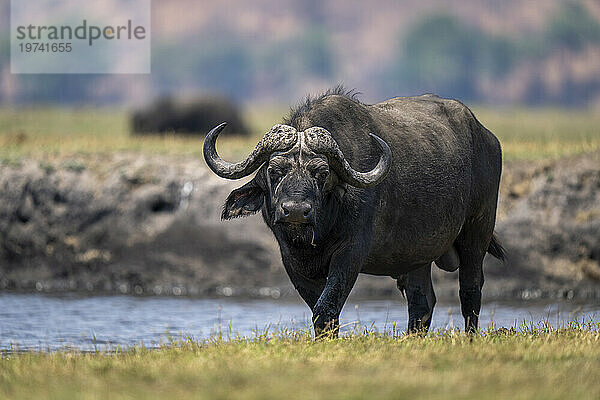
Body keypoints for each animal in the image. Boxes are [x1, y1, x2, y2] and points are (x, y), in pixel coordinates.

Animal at [204, 88, 504, 338]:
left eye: (322, 173)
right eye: (274, 170)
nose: (296, 211)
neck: (316, 236)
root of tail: (487, 138)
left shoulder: (350, 253)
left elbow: (327, 306)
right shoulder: (291, 261)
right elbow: (319, 309)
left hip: (477, 231)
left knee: (470, 290)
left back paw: (470, 337)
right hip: (418, 255)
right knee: (422, 302)